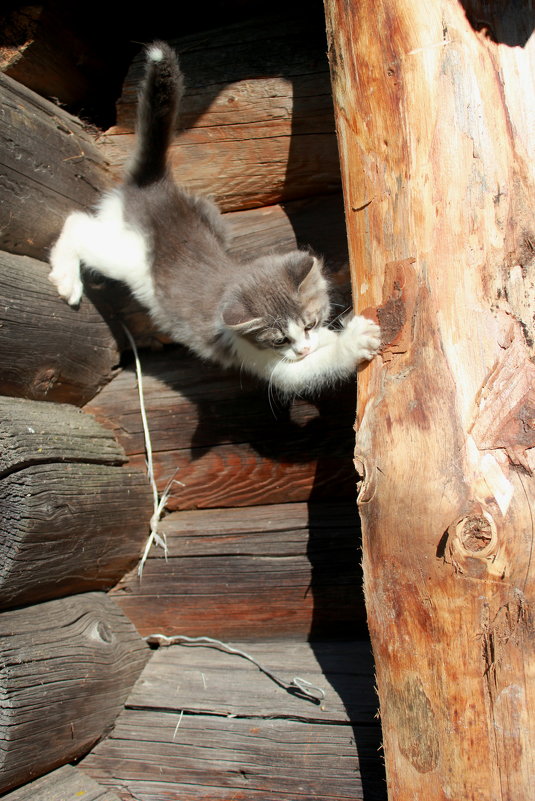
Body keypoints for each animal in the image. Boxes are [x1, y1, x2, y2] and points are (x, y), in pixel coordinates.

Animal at [48, 43, 378, 394]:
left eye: (310, 323)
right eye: (279, 340)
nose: (302, 348)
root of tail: (153, 186)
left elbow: (324, 342)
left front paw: (338, 333)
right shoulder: (265, 360)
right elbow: (311, 368)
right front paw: (355, 341)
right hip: (125, 255)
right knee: (77, 223)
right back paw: (67, 279)